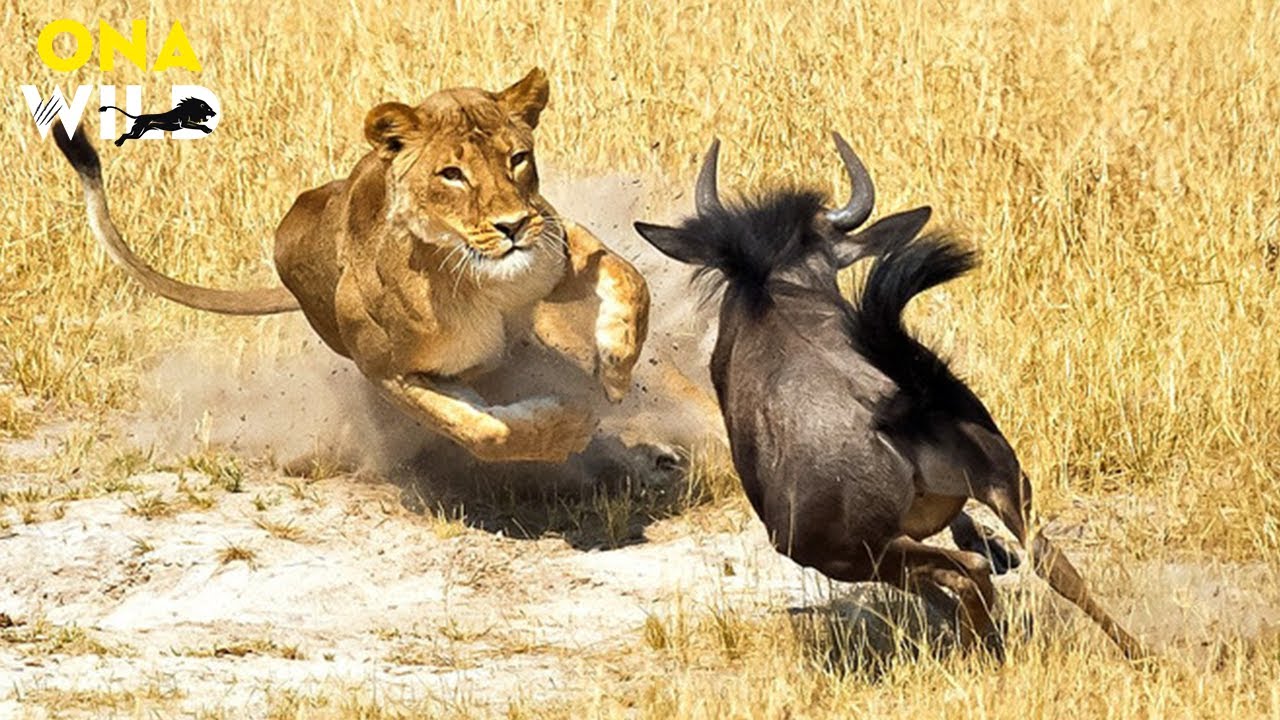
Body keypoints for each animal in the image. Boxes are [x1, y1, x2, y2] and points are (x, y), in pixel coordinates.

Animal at [55, 69, 650, 465]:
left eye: (517, 159)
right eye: (452, 174)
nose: (512, 225)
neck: (474, 278)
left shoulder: (555, 241)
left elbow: (631, 280)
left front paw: (615, 369)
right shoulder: (390, 372)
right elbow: (486, 432)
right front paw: (567, 426)